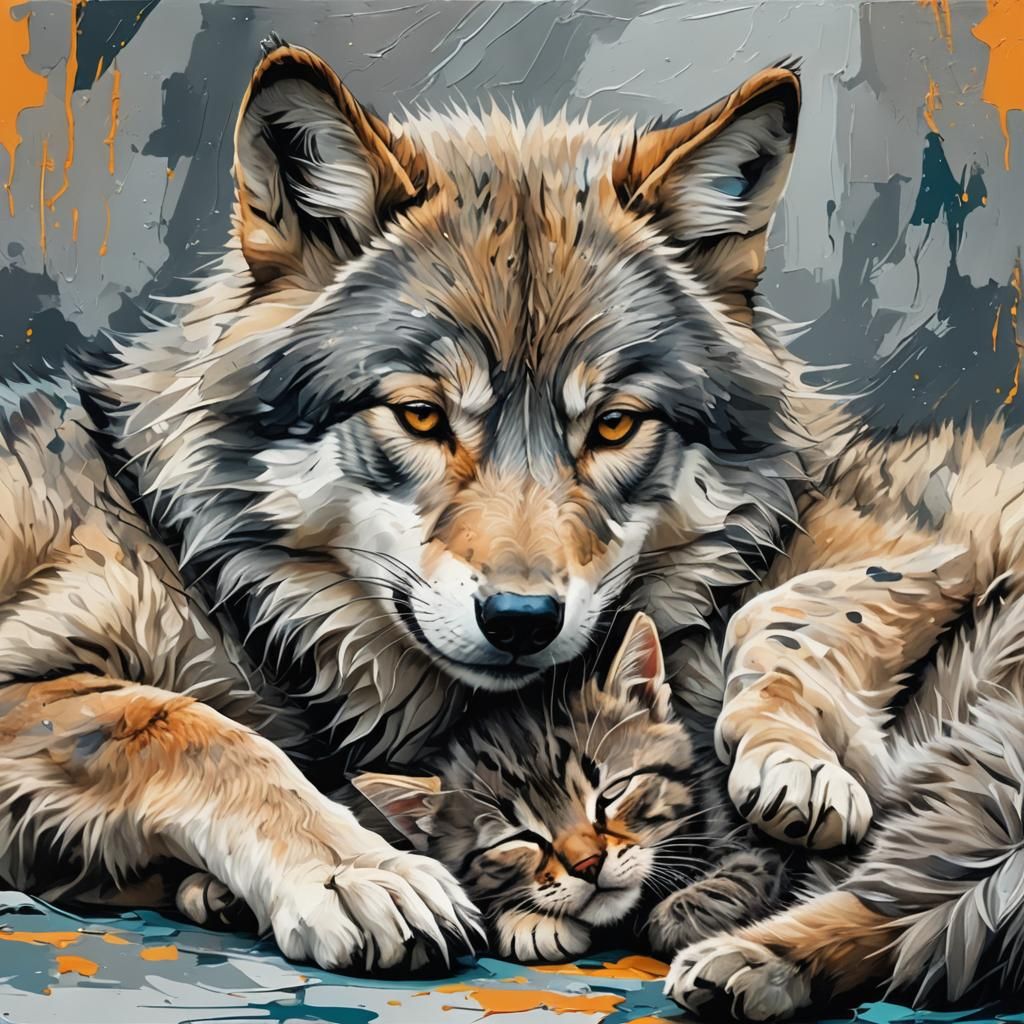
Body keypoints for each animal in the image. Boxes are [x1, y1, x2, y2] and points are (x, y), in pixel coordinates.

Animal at [2, 36, 1024, 996]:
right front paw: (362, 874)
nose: (523, 621)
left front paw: (790, 763)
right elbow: (189, 725)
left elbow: (782, 607)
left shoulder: (926, 527)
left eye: (613, 424)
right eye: (421, 416)